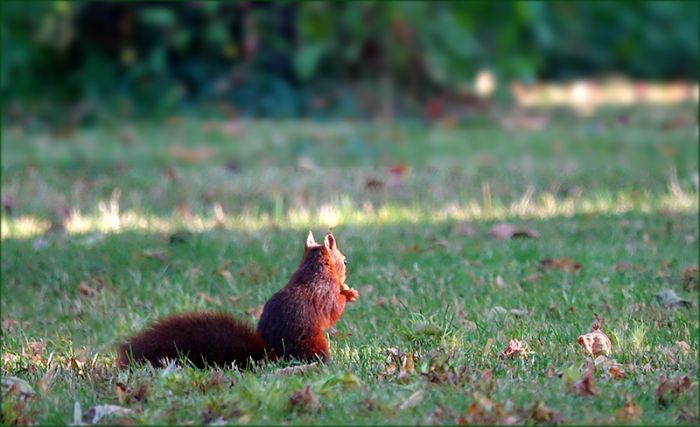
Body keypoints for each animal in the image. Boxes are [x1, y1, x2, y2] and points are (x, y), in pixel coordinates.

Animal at [117, 231, 359, 368]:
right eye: (345, 261)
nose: (348, 271)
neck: (313, 270)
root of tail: (268, 355)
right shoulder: (324, 292)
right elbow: (333, 309)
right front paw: (348, 294)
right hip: (311, 343)